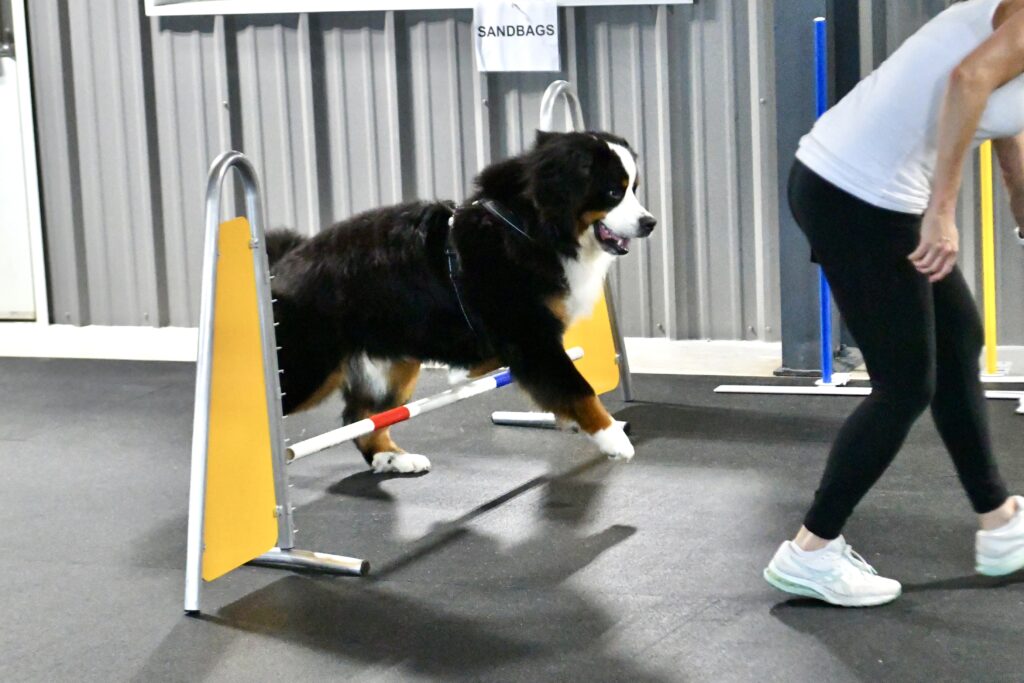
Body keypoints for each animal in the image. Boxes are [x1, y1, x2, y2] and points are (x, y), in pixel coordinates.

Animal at [268, 132, 655, 475]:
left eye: (633, 189)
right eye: (613, 192)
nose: (649, 222)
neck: (528, 227)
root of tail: (281, 267)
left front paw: (467, 370)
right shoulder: (532, 337)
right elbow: (578, 388)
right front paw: (612, 438)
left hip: (395, 367)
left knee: (361, 419)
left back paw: (394, 458)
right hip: (306, 369)